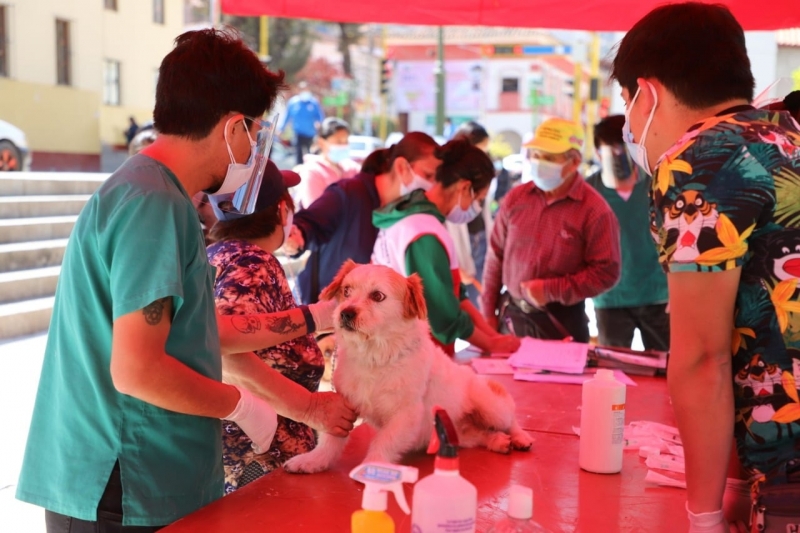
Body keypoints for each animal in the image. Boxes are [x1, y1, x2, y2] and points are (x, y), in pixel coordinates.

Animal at [282, 260, 532, 472]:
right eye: (346, 291)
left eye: (377, 296)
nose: (346, 313)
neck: (375, 356)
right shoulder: (343, 408)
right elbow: (329, 440)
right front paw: (313, 460)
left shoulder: (406, 415)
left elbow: (384, 440)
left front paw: (373, 468)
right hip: (465, 434)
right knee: (482, 434)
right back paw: (498, 440)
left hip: (491, 408)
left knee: (511, 420)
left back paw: (520, 438)